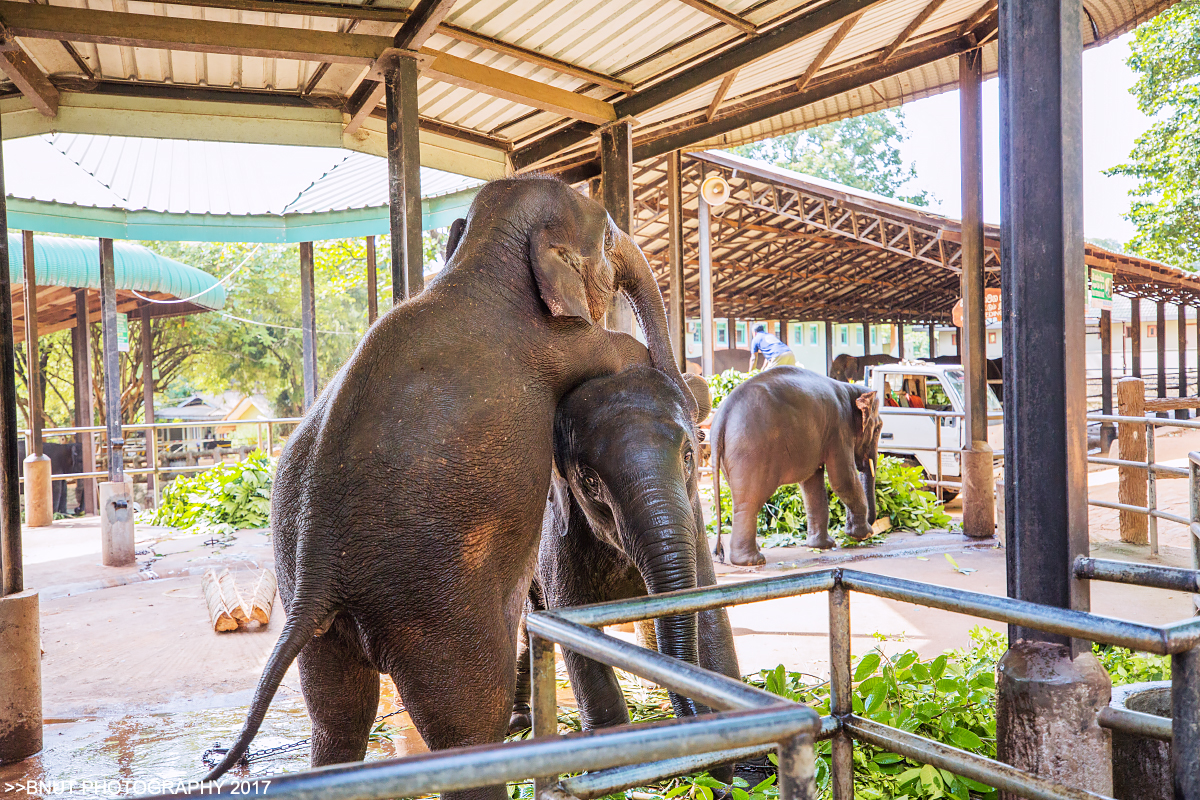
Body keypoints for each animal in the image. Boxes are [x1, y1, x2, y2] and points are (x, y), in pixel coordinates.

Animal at [207, 173, 696, 800]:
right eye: (610, 239)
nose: (691, 401)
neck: (480, 258)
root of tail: (319, 569)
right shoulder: (561, 343)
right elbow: (615, 349)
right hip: (435, 611)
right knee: (469, 724)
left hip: (313, 611)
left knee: (337, 718)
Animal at [501, 371, 734, 743]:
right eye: (589, 480)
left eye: (688, 456)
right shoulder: (558, 537)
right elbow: (572, 627)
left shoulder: (696, 522)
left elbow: (710, 611)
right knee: (525, 630)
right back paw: (518, 724)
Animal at [710, 367, 883, 566]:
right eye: (878, 429)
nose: (873, 528)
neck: (850, 389)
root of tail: (722, 416)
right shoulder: (840, 430)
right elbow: (842, 479)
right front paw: (863, 535)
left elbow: (812, 484)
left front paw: (823, 546)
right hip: (750, 451)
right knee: (749, 502)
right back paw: (753, 561)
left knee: (740, 499)